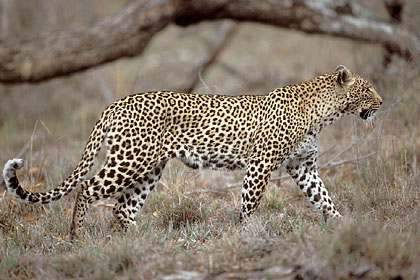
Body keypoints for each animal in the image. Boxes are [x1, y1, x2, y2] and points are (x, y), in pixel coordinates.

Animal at [1, 65, 380, 238]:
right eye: (367, 89)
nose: (381, 102)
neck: (323, 114)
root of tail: (114, 103)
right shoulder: (261, 163)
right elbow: (250, 204)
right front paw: (247, 233)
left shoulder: (303, 167)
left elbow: (324, 199)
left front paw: (346, 226)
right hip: (129, 160)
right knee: (87, 188)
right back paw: (77, 237)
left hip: (149, 168)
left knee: (123, 207)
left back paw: (138, 241)